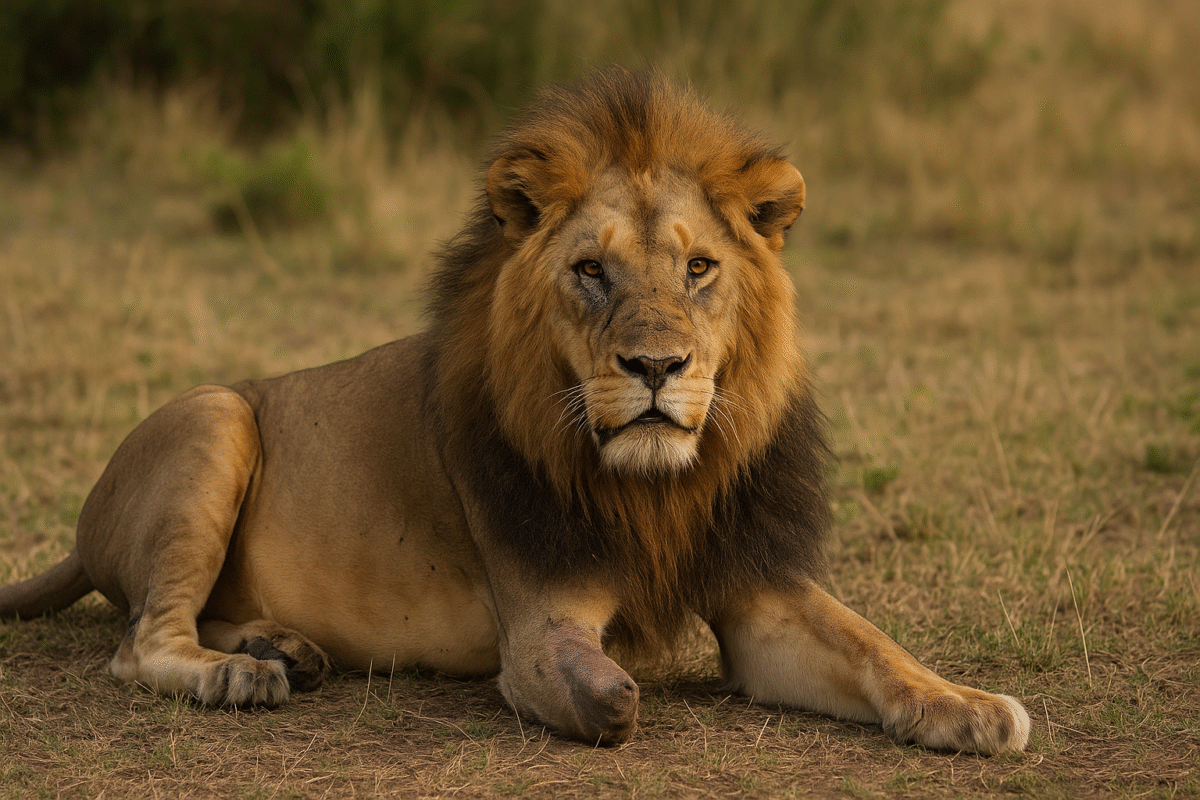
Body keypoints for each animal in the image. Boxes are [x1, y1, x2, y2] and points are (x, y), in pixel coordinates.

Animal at [0, 69, 1029, 753]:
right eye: (591, 270)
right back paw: (241, 674)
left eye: (700, 268)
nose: (657, 366)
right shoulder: (538, 623)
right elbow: (608, 696)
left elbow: (873, 647)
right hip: (216, 415)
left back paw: (285, 646)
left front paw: (972, 705)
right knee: (141, 642)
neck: (658, 489)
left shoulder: (757, 590)